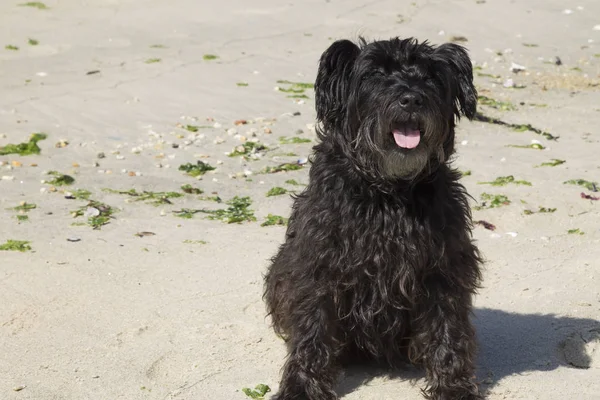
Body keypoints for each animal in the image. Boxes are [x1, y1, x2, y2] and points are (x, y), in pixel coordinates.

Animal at [262, 37, 482, 400]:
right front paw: (302, 386)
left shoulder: (443, 267)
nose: (411, 98)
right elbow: (312, 328)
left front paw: (454, 387)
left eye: (431, 76)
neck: (388, 192)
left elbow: (447, 327)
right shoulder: (317, 267)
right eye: (375, 74)